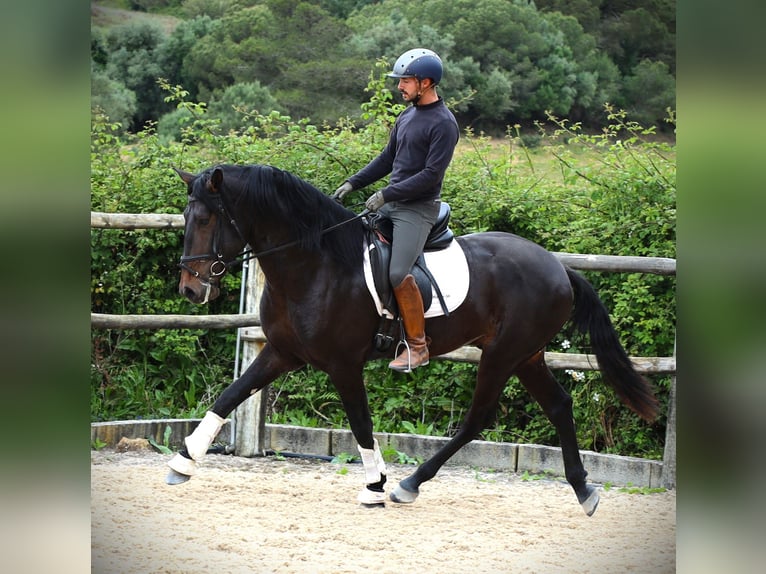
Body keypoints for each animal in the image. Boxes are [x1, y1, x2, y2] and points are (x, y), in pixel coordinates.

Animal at [168, 163, 660, 516]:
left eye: (208, 219)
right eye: (188, 218)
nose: (190, 290)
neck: (316, 264)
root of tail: (558, 267)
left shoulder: (343, 365)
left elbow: (362, 425)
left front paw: (374, 486)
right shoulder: (282, 352)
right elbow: (229, 396)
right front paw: (182, 462)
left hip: (503, 354)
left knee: (478, 418)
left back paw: (408, 484)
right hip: (527, 356)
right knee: (558, 405)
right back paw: (583, 489)